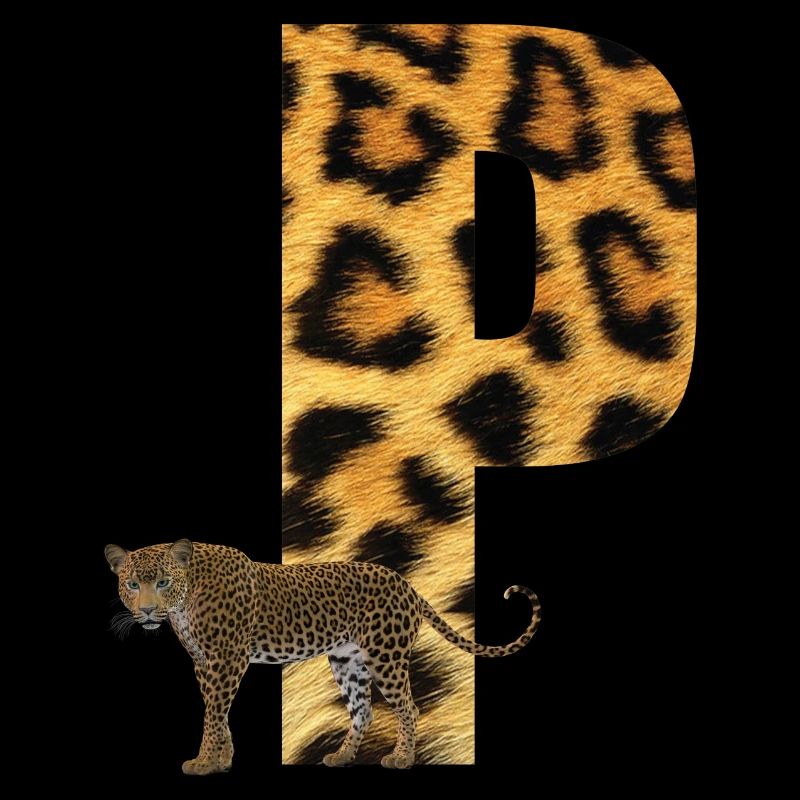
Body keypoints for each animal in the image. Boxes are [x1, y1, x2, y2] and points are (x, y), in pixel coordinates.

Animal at [105, 539, 540, 772]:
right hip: (348, 661)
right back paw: (342, 757)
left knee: (407, 708)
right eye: (132, 584)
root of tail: (407, 585)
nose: (147, 611)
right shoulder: (204, 663)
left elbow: (213, 714)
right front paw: (222, 759)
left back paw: (400, 758)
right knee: (363, 711)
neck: (185, 598)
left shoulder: (227, 659)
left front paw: (204, 762)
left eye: (162, 582)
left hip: (385, 655)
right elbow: (217, 712)